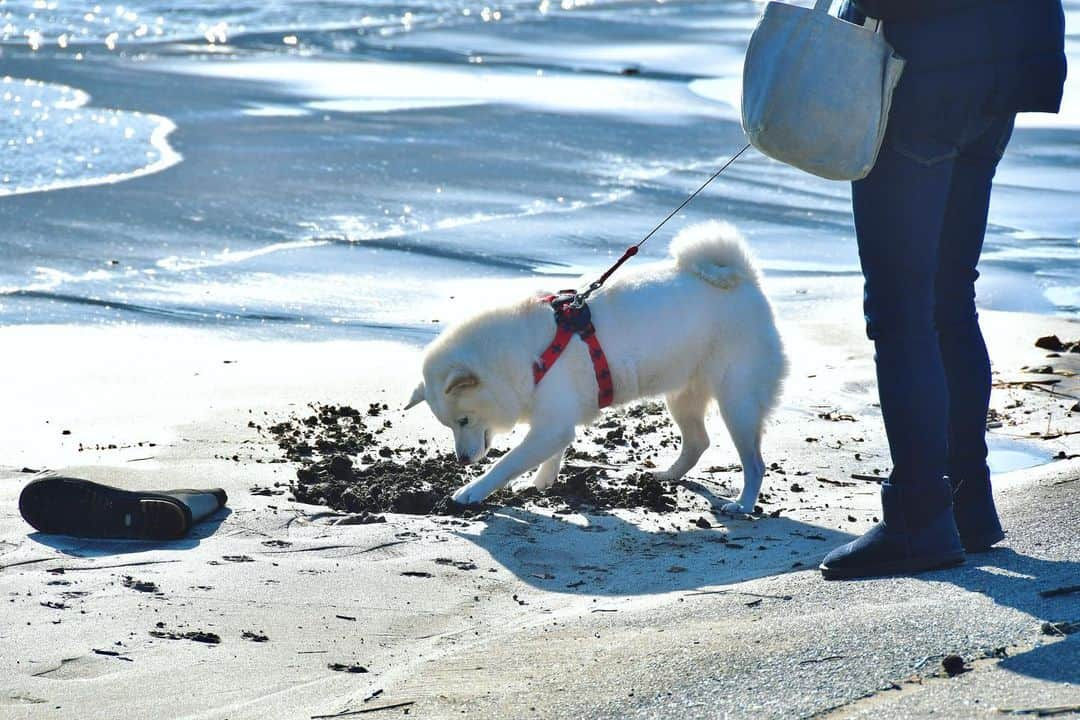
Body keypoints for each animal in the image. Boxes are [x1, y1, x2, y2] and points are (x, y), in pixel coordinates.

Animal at [406, 222, 786, 509]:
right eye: (449, 426)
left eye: (463, 420)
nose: (462, 461)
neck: (525, 354)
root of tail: (747, 282)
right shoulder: (555, 423)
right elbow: (550, 455)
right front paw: (541, 482)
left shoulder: (551, 425)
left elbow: (507, 462)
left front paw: (472, 491)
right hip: (684, 397)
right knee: (698, 443)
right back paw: (666, 476)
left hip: (737, 402)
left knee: (754, 463)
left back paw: (742, 503)